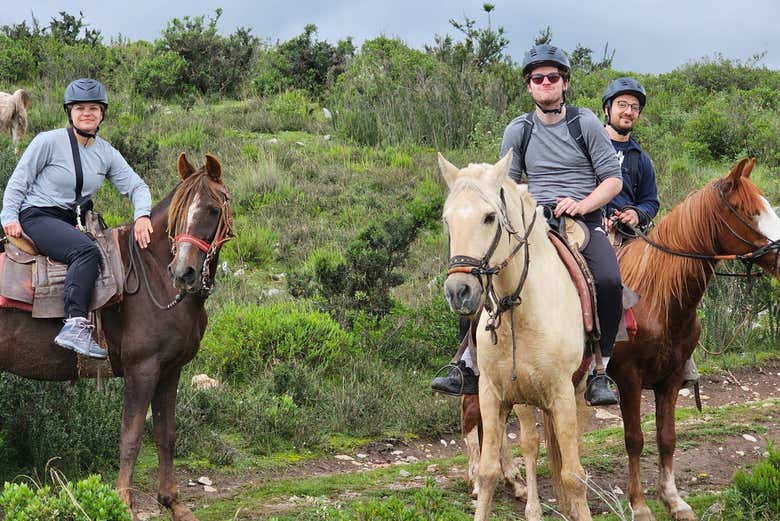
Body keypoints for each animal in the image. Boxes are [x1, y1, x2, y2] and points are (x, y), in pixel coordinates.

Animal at [0, 153, 233, 521]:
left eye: (212, 209)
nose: (183, 272)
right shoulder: (143, 369)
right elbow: (131, 436)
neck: (154, 275)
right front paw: (123, 503)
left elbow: (165, 435)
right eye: (179, 212)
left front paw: (173, 502)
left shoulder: (170, 371)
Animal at [440, 150, 593, 521]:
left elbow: (573, 475)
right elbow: (490, 470)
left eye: (489, 217)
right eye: (447, 221)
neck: (518, 312)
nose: (458, 291)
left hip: (580, 391)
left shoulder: (561, 394)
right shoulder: (493, 393)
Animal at [610, 157, 780, 521]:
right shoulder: (629, 379)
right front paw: (639, 504)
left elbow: (667, 437)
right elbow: (635, 439)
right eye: (749, 211)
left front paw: (674, 500)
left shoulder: (671, 379)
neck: (655, 298)